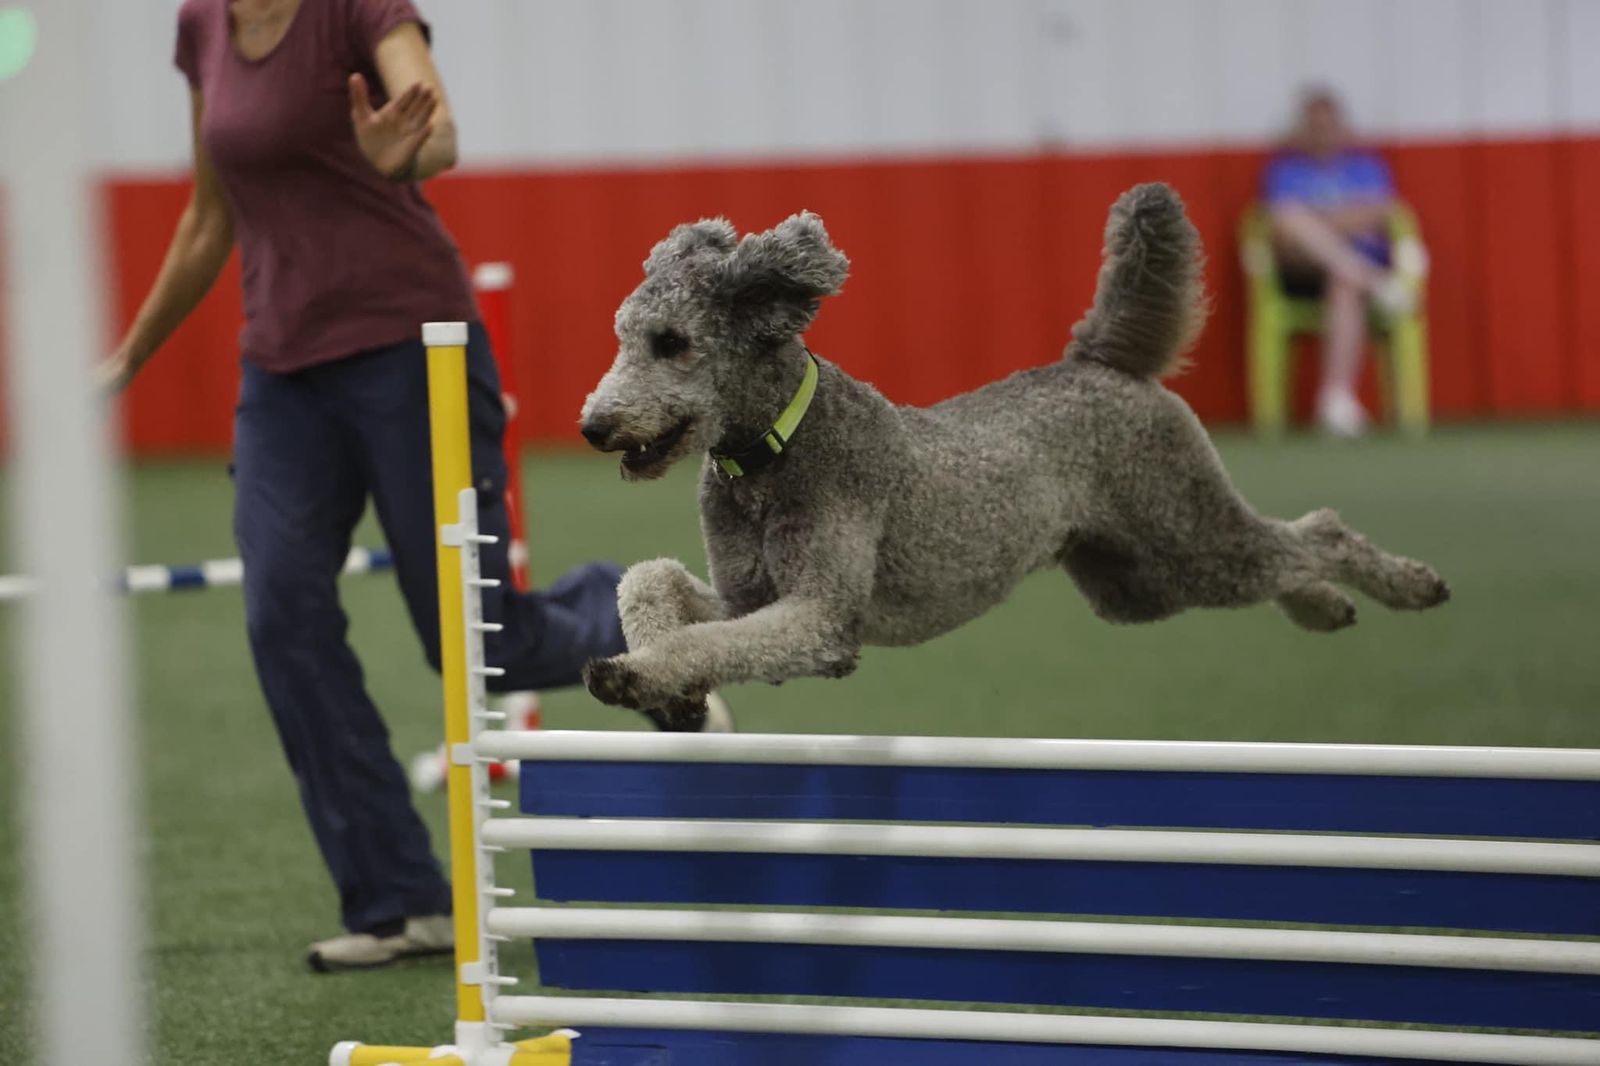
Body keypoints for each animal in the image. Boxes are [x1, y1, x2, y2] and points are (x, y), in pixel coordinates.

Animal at [577, 183, 1449, 727]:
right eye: (620, 336)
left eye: (672, 343)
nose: (593, 424)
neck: (771, 454)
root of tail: (1100, 359)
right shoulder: (750, 597)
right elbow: (650, 583)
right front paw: (671, 690)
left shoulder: (819, 618)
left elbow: (708, 638)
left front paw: (640, 674)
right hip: (1137, 584)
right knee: (1286, 558)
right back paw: (1325, 607)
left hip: (1190, 531)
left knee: (1316, 533)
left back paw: (1409, 586)